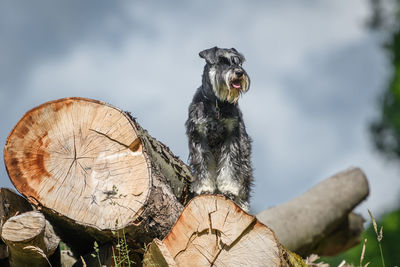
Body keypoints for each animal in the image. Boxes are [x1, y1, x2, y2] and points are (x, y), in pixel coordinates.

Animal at [185, 47, 253, 213]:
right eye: (221, 61)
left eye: (238, 62)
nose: (239, 72)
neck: (216, 103)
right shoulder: (199, 137)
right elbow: (203, 164)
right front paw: (204, 188)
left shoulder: (232, 138)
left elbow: (230, 165)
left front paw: (229, 189)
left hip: (245, 156)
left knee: (244, 180)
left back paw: (243, 205)